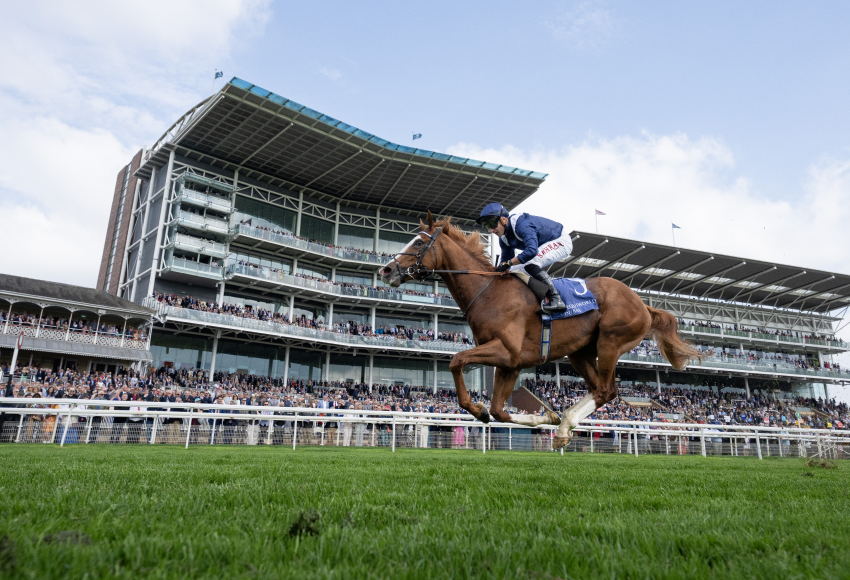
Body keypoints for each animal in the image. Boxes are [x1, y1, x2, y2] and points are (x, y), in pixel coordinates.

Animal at [380, 213, 700, 448]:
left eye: (418, 243)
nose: (386, 270)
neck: (488, 292)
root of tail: (643, 304)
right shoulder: (511, 364)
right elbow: (499, 410)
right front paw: (545, 416)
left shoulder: (506, 352)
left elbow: (457, 361)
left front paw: (476, 408)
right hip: (580, 352)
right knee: (600, 390)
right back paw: (564, 424)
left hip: (611, 342)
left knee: (607, 390)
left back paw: (564, 426)